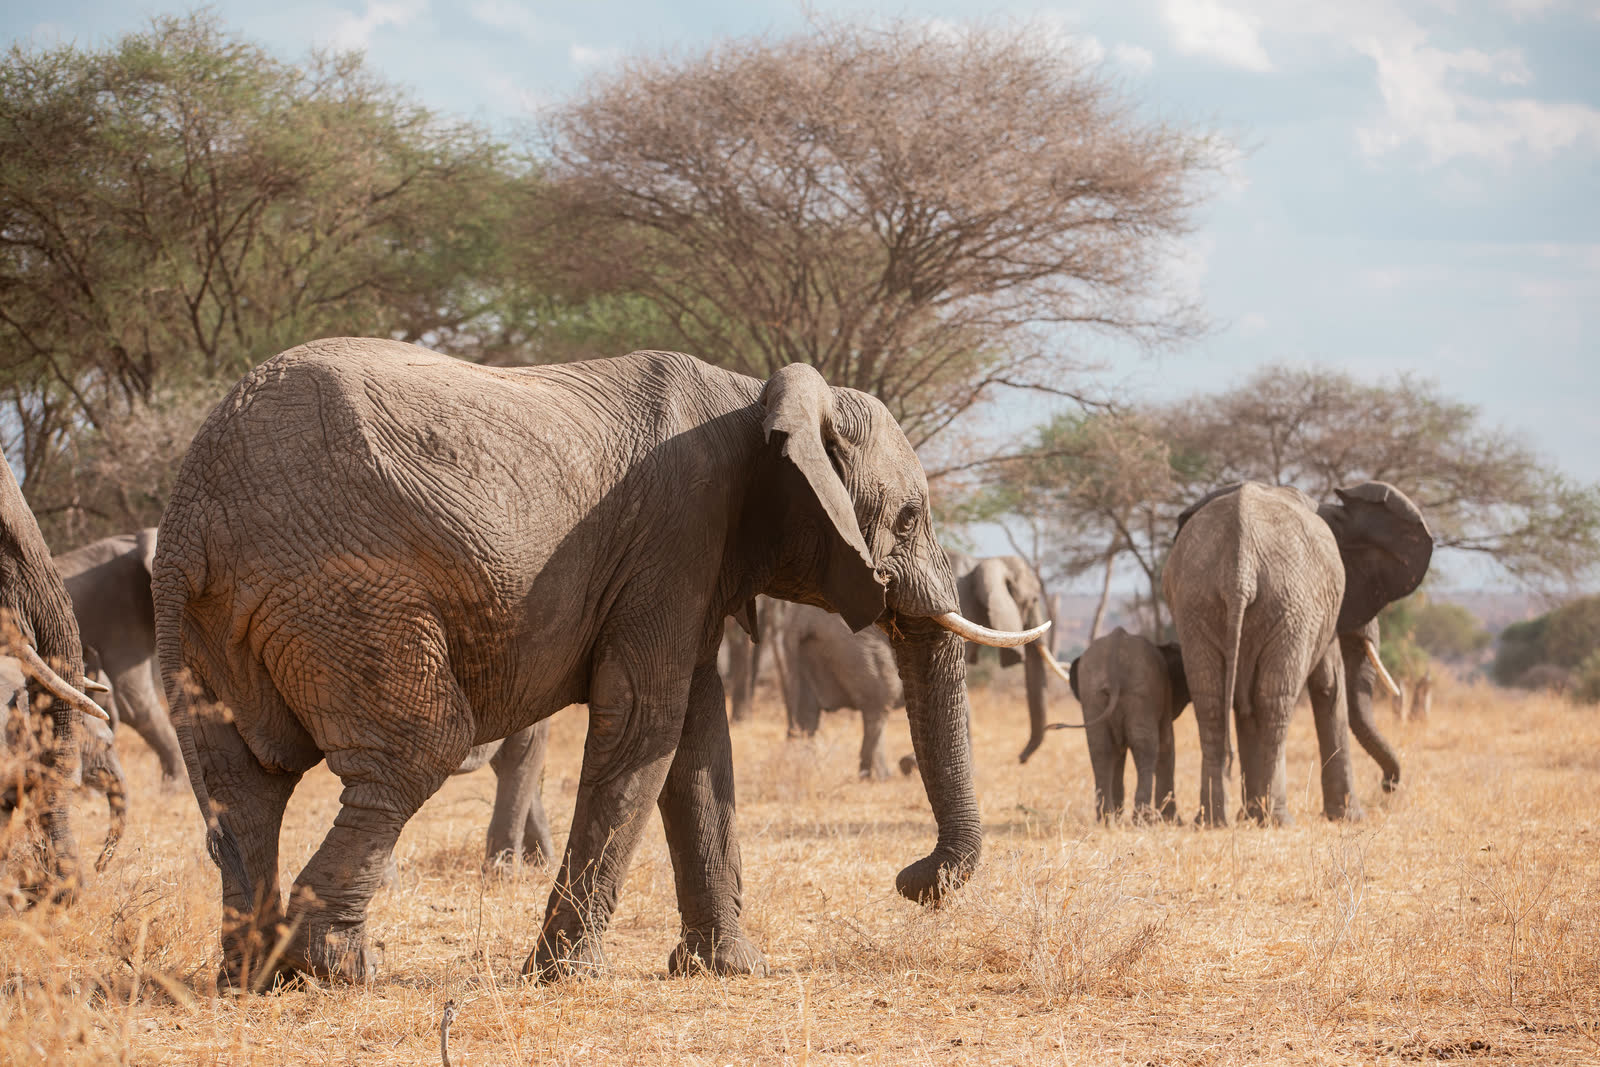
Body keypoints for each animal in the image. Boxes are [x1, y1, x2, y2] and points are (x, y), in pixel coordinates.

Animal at [1065, 628, 1189, 821]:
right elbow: (1166, 745)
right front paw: (1173, 822)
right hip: (1141, 694)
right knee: (1146, 748)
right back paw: (1142, 820)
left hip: (1093, 695)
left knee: (1101, 749)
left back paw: (1106, 820)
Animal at [1163, 481, 1431, 826]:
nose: (1388, 785)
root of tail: (1240, 566)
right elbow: (1330, 687)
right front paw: (1350, 818)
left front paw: (1249, 816)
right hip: (1289, 605)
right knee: (1273, 702)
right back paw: (1278, 819)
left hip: (1198, 603)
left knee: (1211, 702)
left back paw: (1213, 820)